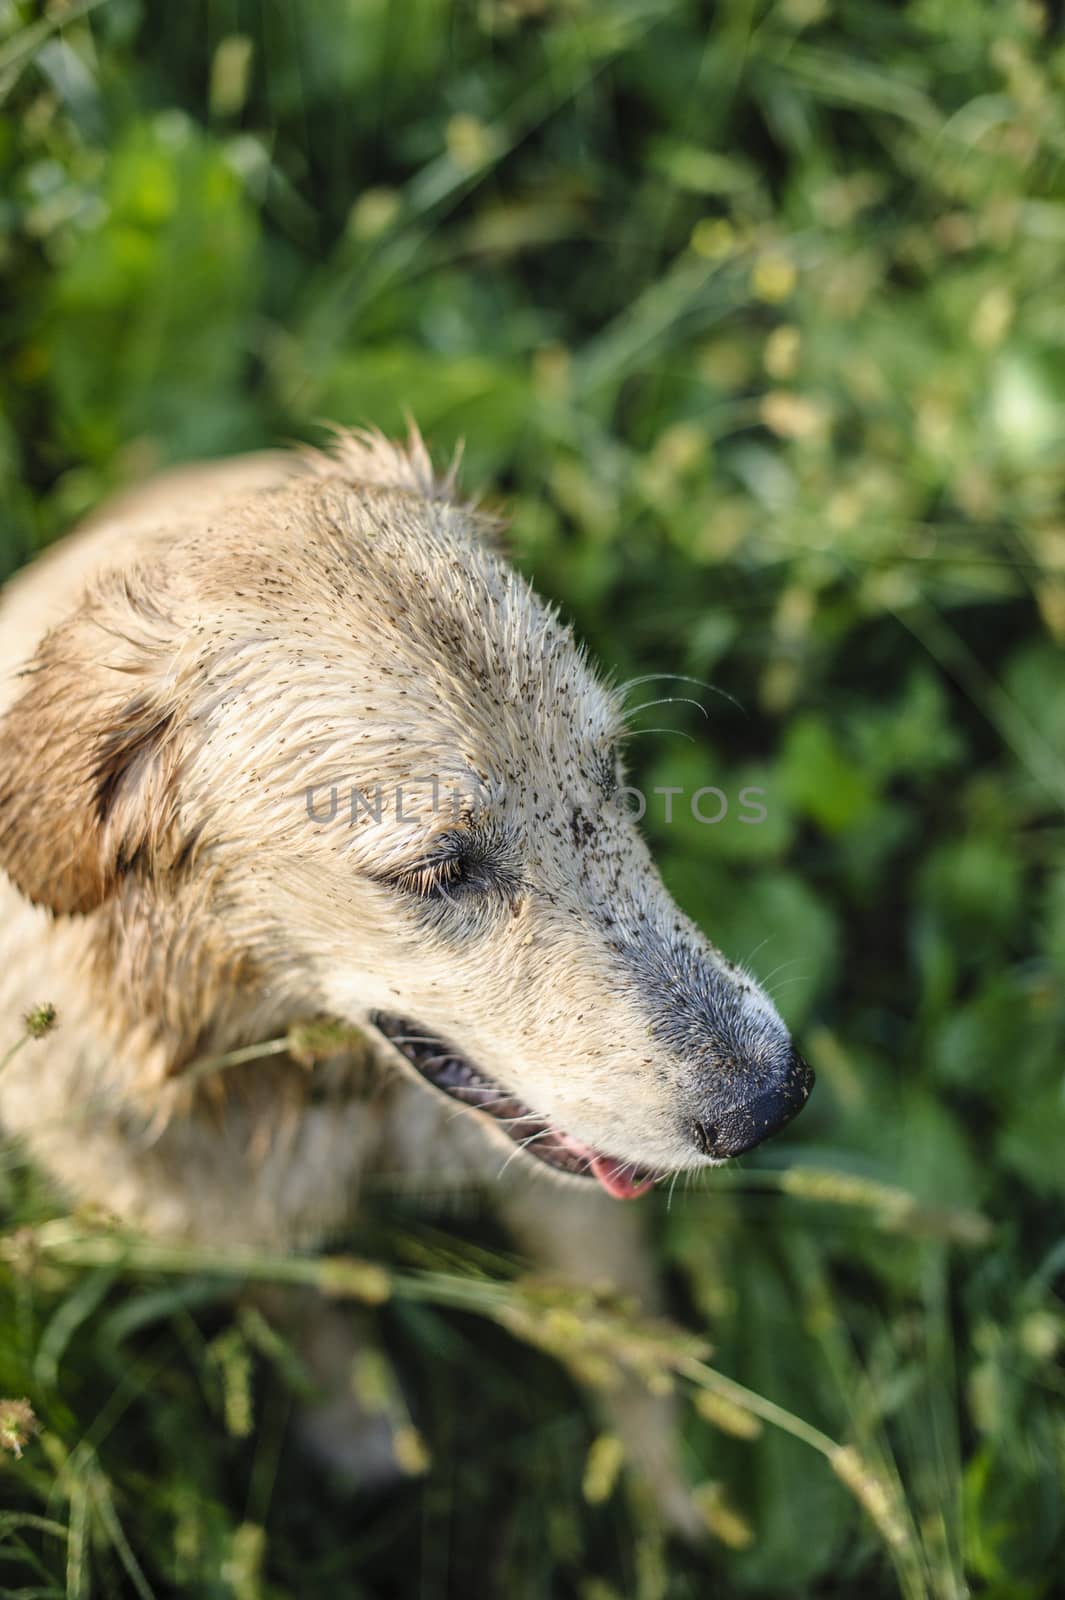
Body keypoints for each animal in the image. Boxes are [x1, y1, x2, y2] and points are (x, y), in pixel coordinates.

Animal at [0, 435, 809, 1523]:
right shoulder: (212, 1204)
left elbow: (620, 1328)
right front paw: (355, 1424)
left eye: (609, 774)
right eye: (436, 871)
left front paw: (679, 1496)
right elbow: (298, 1303)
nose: (773, 1100)